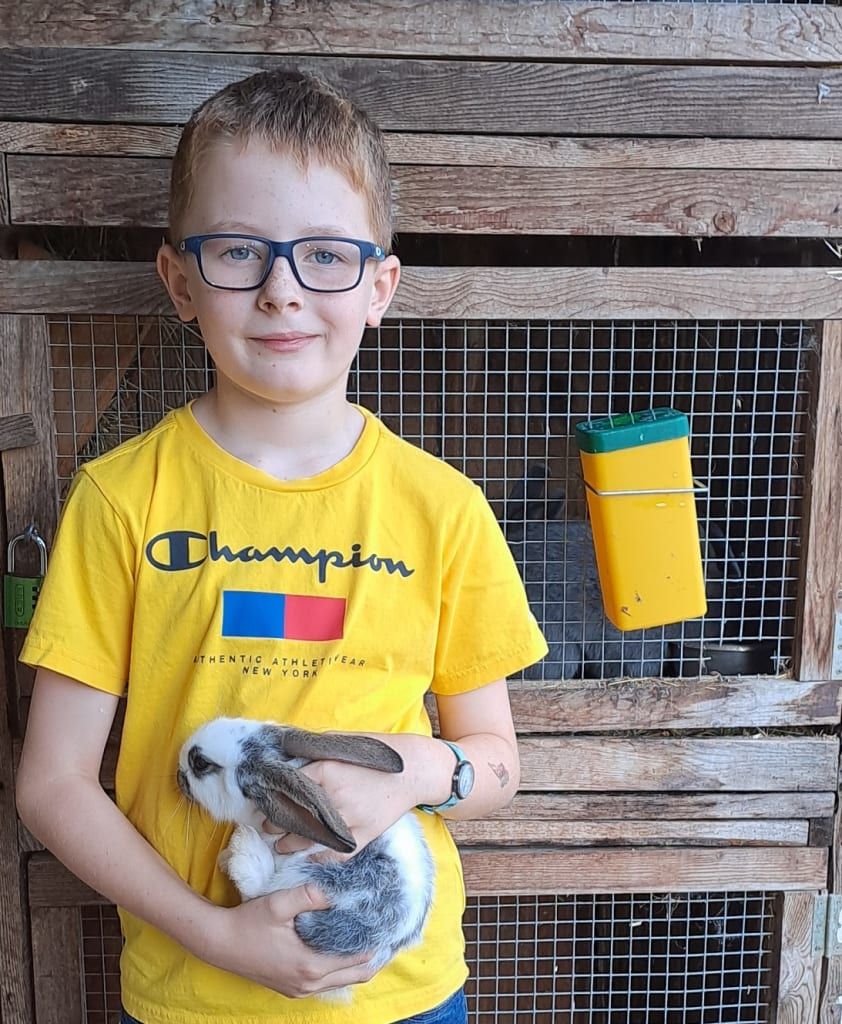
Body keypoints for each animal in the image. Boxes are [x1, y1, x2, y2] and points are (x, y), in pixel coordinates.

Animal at [177, 717, 435, 1002]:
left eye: (200, 763)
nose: (178, 773)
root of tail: (387, 940)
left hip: (319, 875)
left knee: (259, 892)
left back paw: (245, 850)